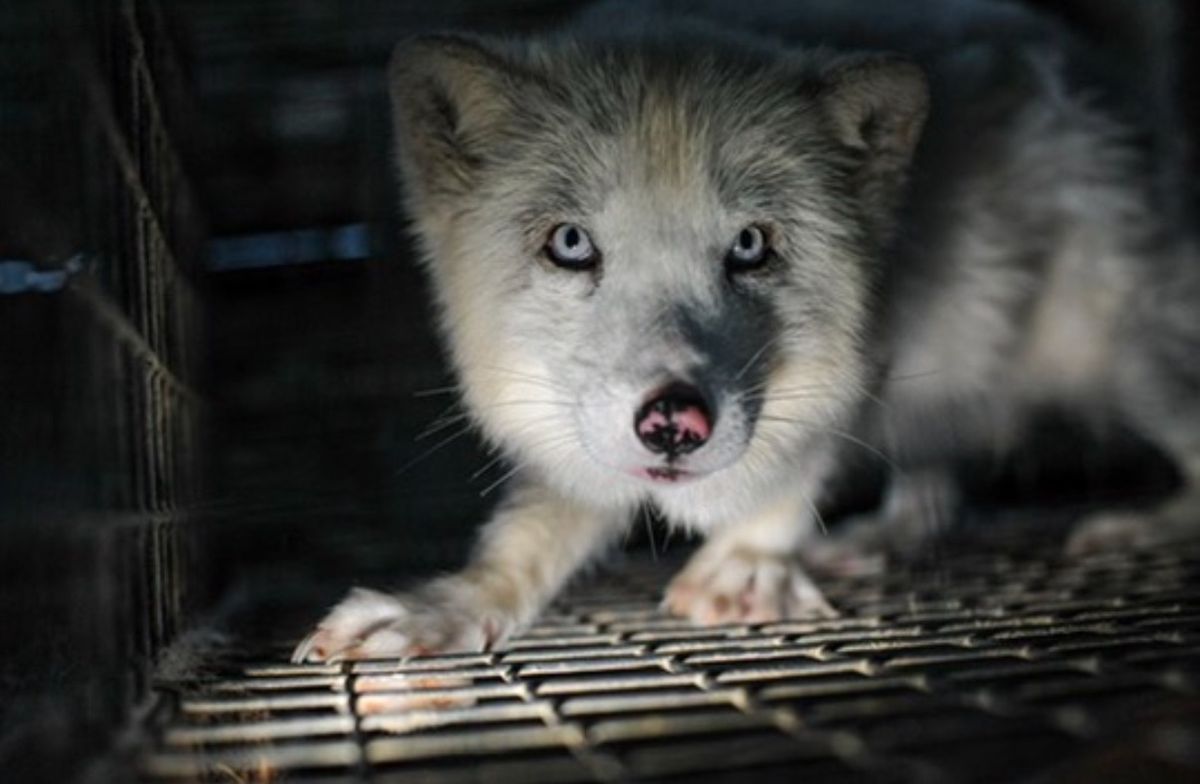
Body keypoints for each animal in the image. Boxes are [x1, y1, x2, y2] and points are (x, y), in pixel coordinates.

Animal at [292, 3, 1200, 662]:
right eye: (572, 243)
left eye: (751, 246)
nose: (673, 422)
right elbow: (530, 537)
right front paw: (447, 605)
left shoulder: (871, 350)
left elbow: (801, 461)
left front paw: (751, 561)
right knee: (936, 487)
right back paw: (876, 537)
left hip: (1127, 363)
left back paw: (1144, 525)